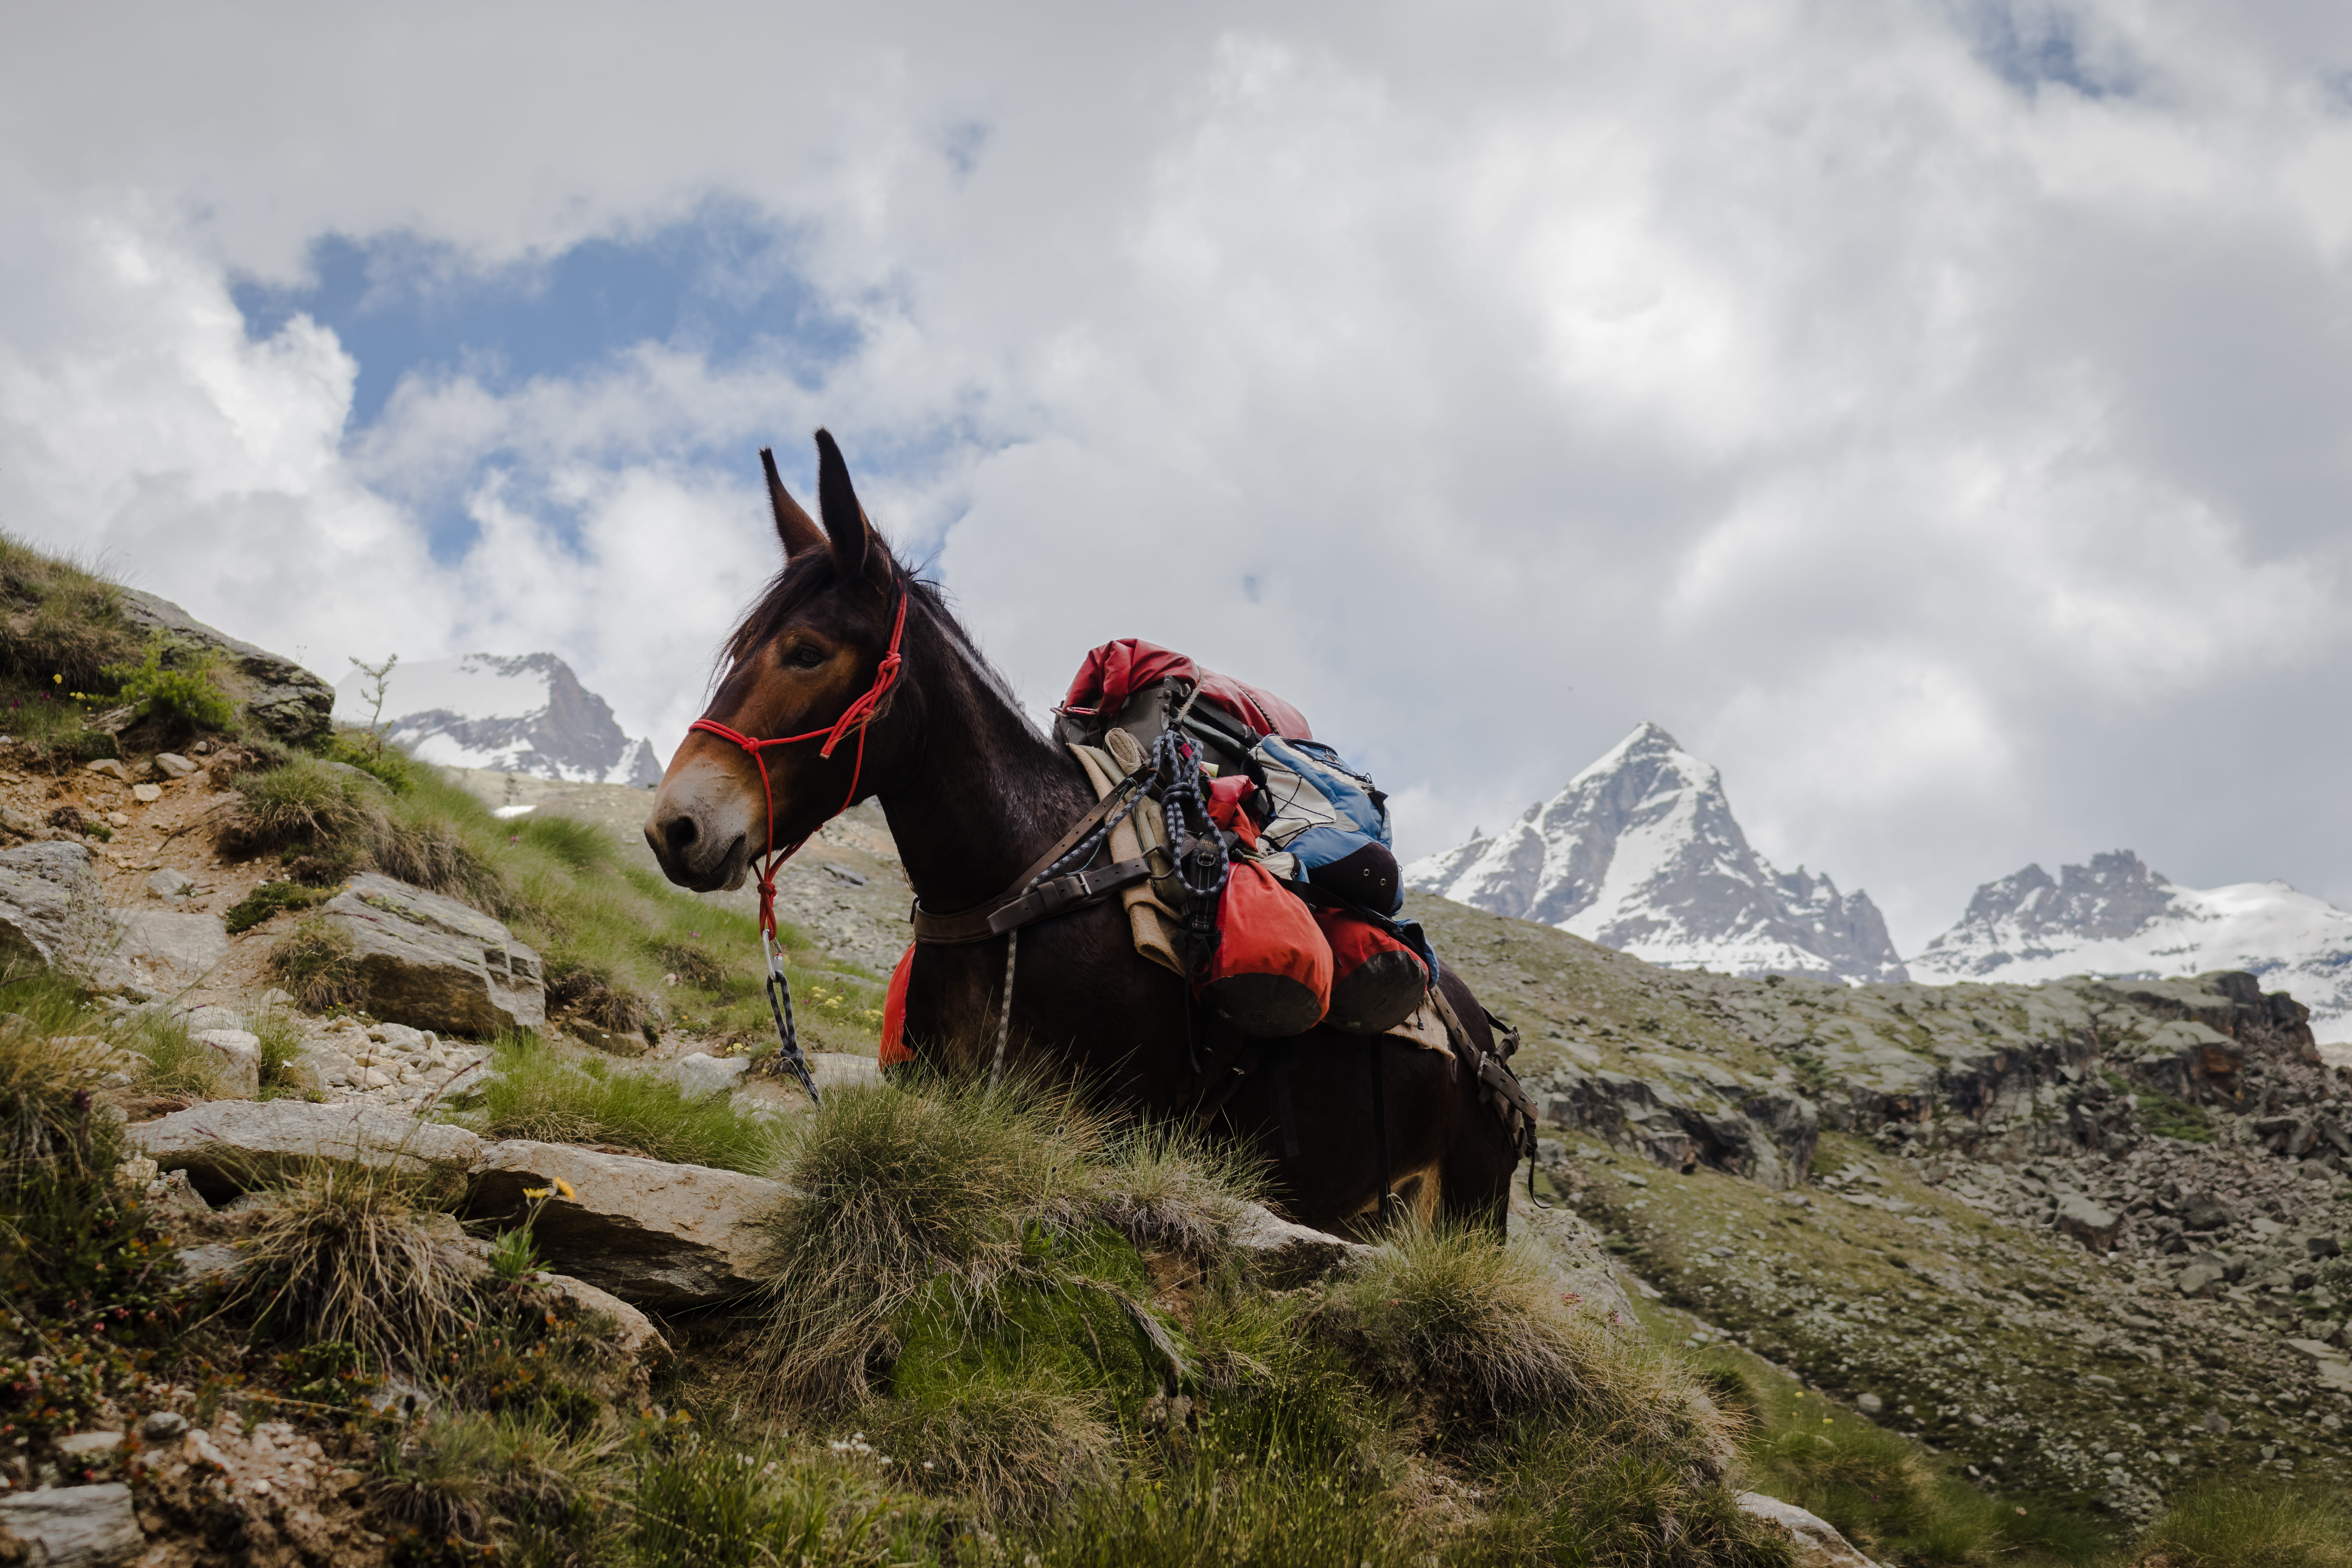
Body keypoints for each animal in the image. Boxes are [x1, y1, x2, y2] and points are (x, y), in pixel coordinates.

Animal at [644, 430, 1523, 1236]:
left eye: (806, 652)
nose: (674, 828)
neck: (1016, 886)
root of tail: (1485, 1038)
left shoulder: (1097, 1131)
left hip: (1463, 1211)